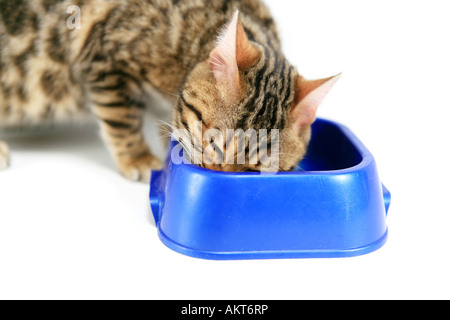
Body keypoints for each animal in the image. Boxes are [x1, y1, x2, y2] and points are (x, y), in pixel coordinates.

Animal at [0, 0, 338, 181]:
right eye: (214, 142)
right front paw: (138, 158)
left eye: (254, 168)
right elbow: (122, 118)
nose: (218, 172)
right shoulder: (102, 60)